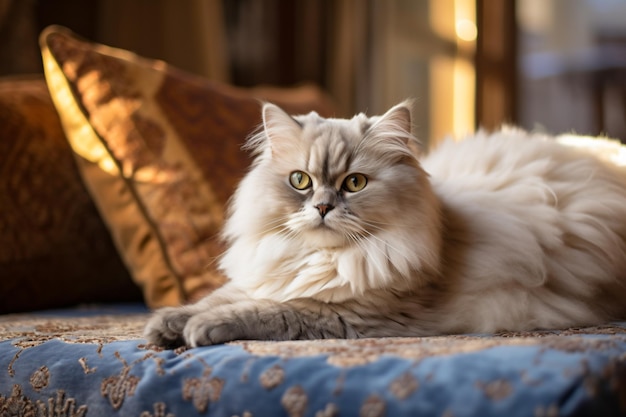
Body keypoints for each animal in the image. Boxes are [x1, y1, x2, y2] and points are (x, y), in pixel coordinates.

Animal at [144, 101, 624, 348]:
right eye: (301, 181)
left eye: (354, 183)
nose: (322, 207)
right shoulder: (274, 278)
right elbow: (220, 297)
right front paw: (164, 326)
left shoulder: (351, 314)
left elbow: (265, 311)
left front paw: (198, 331)